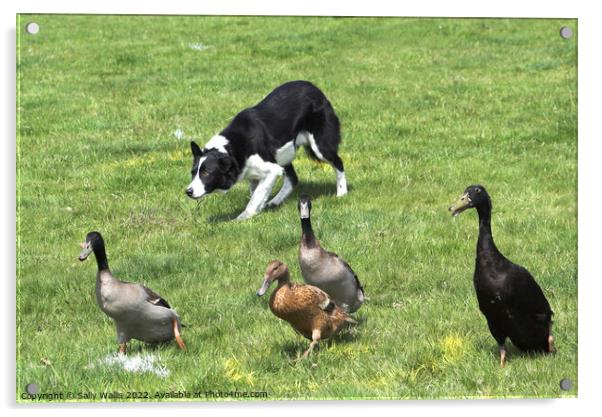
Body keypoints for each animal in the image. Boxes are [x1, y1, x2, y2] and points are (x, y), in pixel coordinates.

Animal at [186, 79, 346, 219]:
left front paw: (243, 217)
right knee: (293, 178)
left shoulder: (271, 169)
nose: (188, 192)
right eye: (193, 173)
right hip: (283, 155)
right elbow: (257, 192)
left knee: (338, 162)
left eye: (206, 173)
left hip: (319, 146)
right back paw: (275, 201)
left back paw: (342, 193)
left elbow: (256, 196)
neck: (233, 147)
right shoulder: (256, 173)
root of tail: (316, 89)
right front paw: (259, 209)